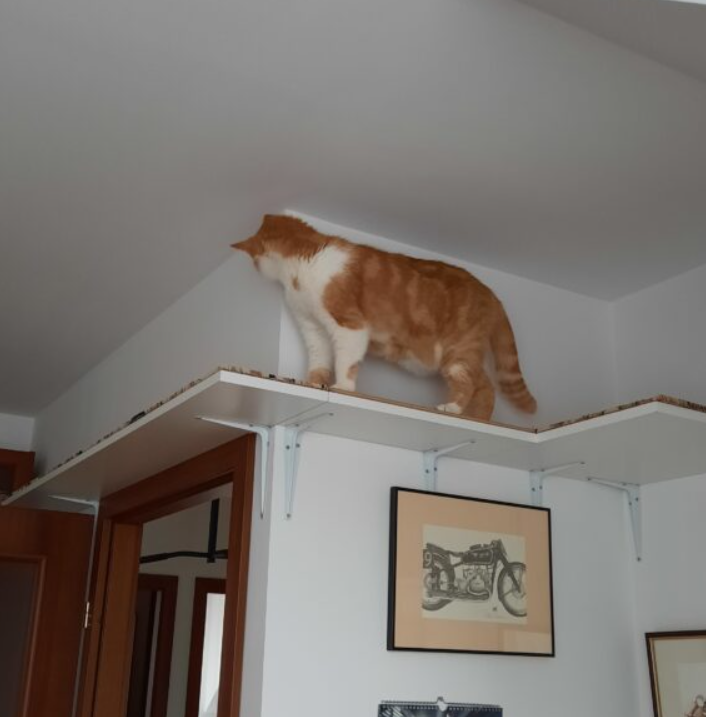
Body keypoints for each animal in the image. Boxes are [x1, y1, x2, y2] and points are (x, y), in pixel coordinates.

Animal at [233, 214, 536, 421]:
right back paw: (479, 418)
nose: (256, 269)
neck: (304, 265)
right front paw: (314, 382)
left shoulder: (349, 324)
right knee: (486, 386)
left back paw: (454, 408)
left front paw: (342, 387)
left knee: (470, 383)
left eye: (256, 261)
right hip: (464, 355)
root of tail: (490, 292)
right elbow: (319, 359)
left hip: (458, 352)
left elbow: (345, 361)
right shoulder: (312, 328)